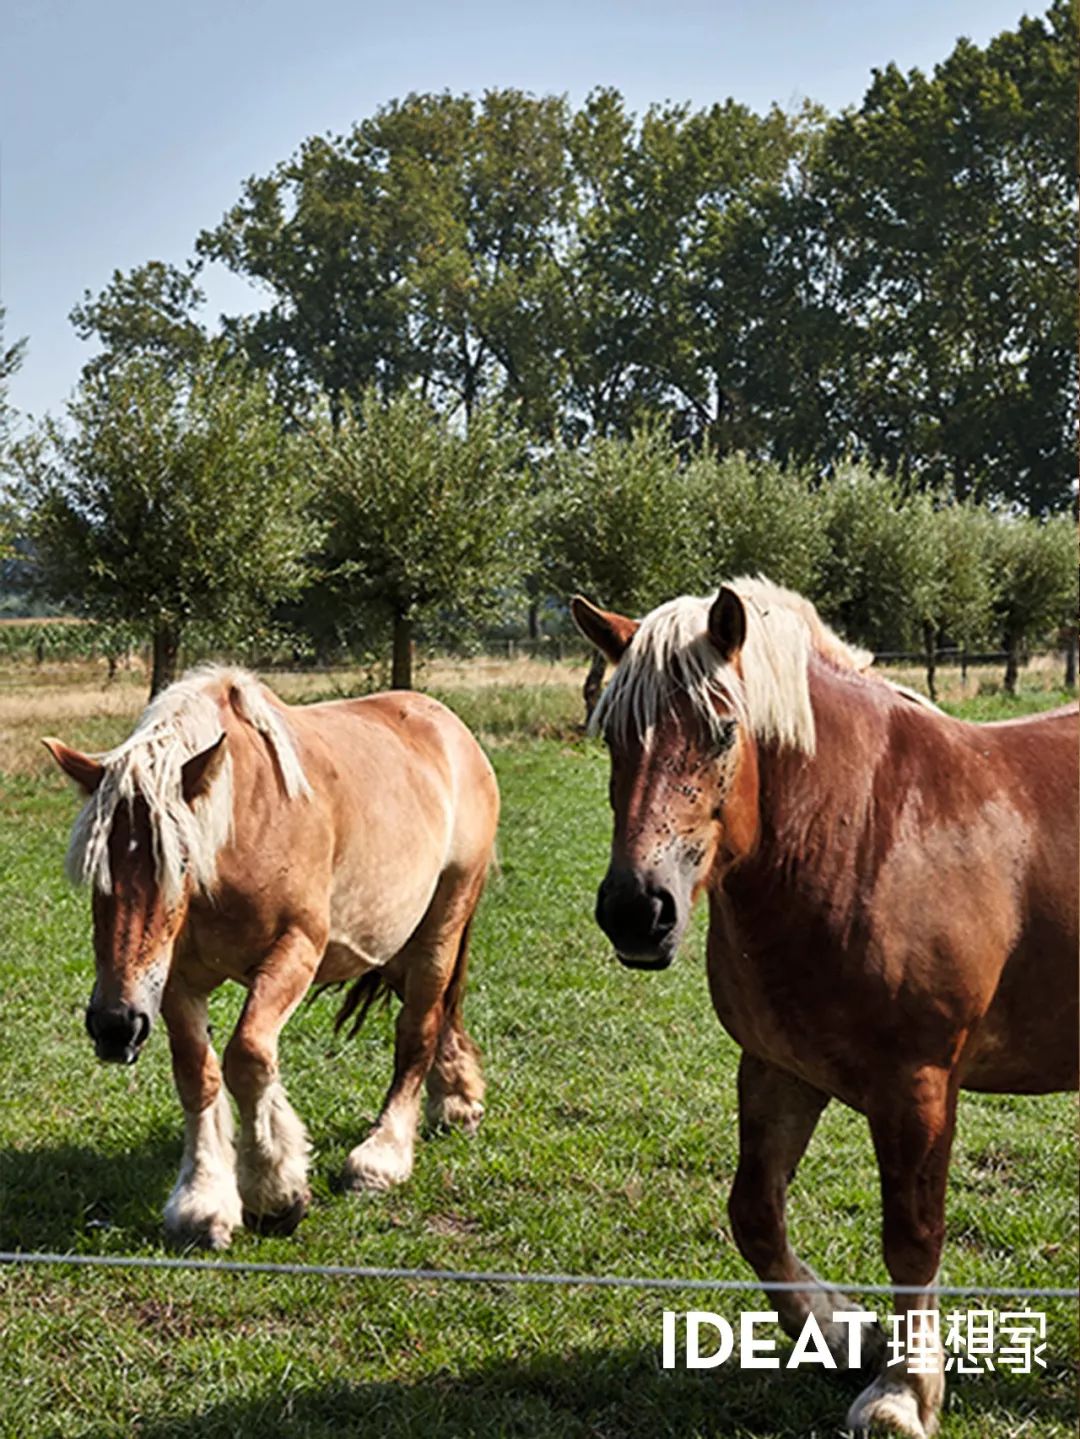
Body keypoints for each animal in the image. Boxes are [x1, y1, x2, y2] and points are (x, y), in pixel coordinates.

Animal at [42, 664, 497, 1249]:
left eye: (180, 861)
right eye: (96, 868)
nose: (116, 1025)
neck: (243, 828)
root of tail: (448, 727)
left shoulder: (294, 950)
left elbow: (248, 1055)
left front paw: (275, 1191)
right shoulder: (175, 980)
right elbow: (198, 1072)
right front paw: (203, 1200)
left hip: (441, 924)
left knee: (417, 1028)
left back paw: (382, 1157)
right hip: (396, 942)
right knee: (443, 1015)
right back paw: (457, 1099)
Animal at [569, 578, 1075, 1439]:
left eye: (722, 727)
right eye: (611, 733)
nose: (638, 911)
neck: (868, 832)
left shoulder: (917, 1086)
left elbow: (912, 1235)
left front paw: (906, 1388)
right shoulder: (778, 1068)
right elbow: (754, 1214)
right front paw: (846, 1333)